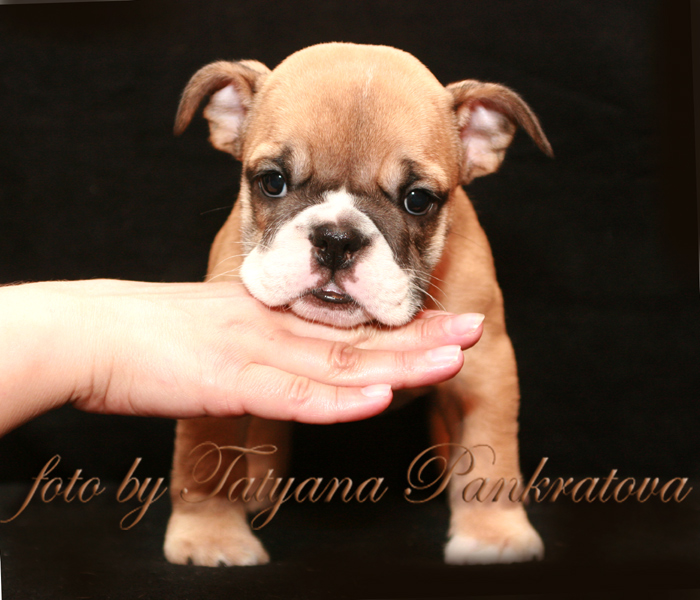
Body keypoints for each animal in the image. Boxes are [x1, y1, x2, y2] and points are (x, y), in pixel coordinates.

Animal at [163, 42, 552, 566]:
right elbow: (207, 452)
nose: (336, 239)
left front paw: (494, 535)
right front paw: (209, 535)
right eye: (272, 182)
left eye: (418, 200)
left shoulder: (486, 367)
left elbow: (491, 452)